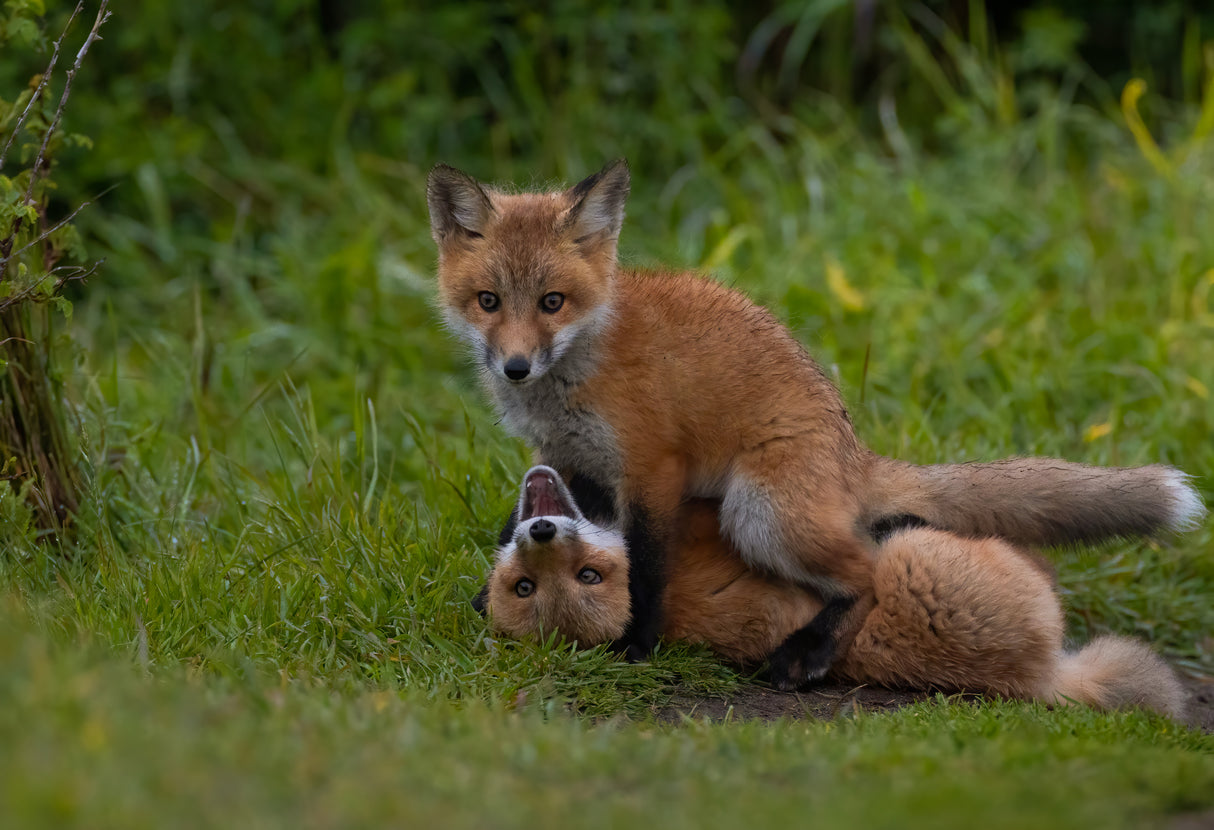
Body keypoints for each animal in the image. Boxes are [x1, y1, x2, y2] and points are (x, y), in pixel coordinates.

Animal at [427, 159, 1205, 688]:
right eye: (489, 301)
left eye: (552, 302)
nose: (516, 367)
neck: (577, 373)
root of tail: (853, 455)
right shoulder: (570, 459)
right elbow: (529, 517)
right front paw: (491, 591)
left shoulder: (652, 468)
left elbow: (645, 569)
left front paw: (636, 645)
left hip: (759, 513)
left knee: (868, 569)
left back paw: (812, 653)